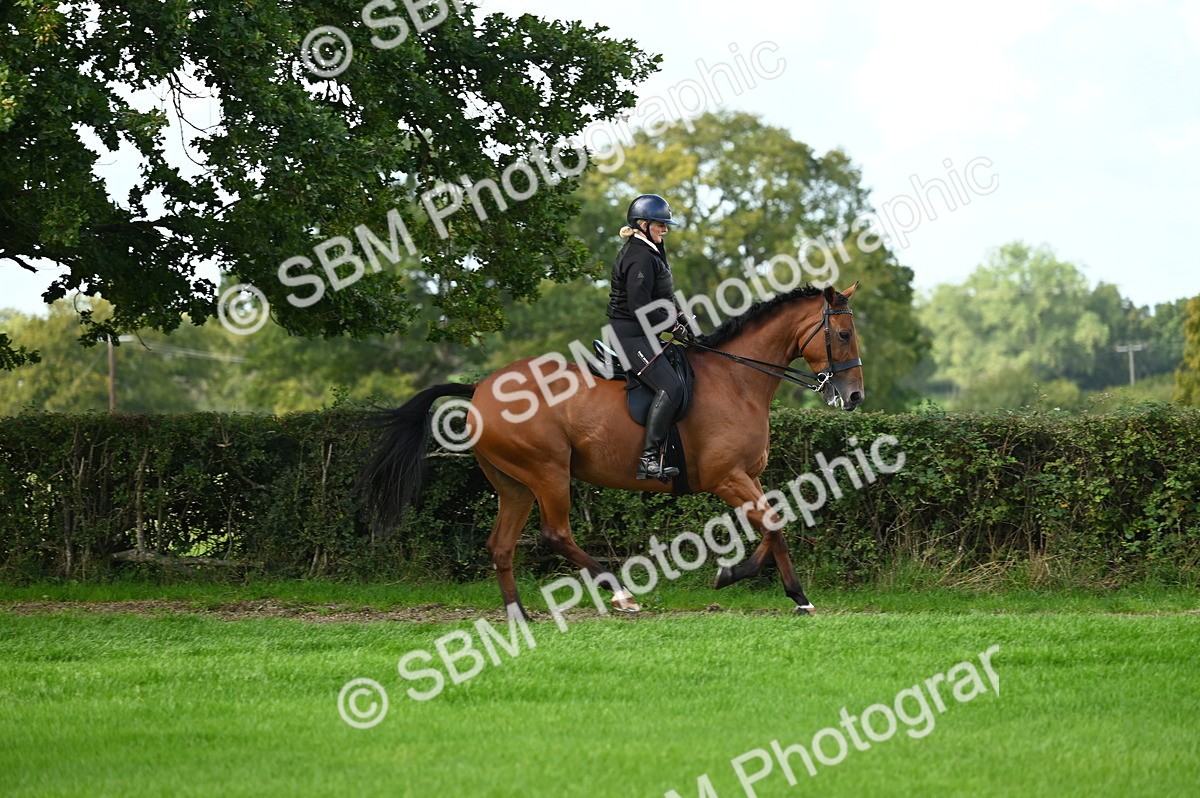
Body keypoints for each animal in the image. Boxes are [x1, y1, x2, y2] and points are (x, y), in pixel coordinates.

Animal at [361, 283, 864, 618]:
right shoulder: (728, 478)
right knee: (555, 534)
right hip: (547, 471)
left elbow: (775, 525)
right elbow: (774, 523)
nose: (855, 396)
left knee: (501, 545)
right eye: (843, 335)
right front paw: (753, 583)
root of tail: (480, 389)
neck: (737, 379)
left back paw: (518, 615)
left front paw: (788, 592)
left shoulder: (748, 476)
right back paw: (620, 594)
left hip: (513, 484)